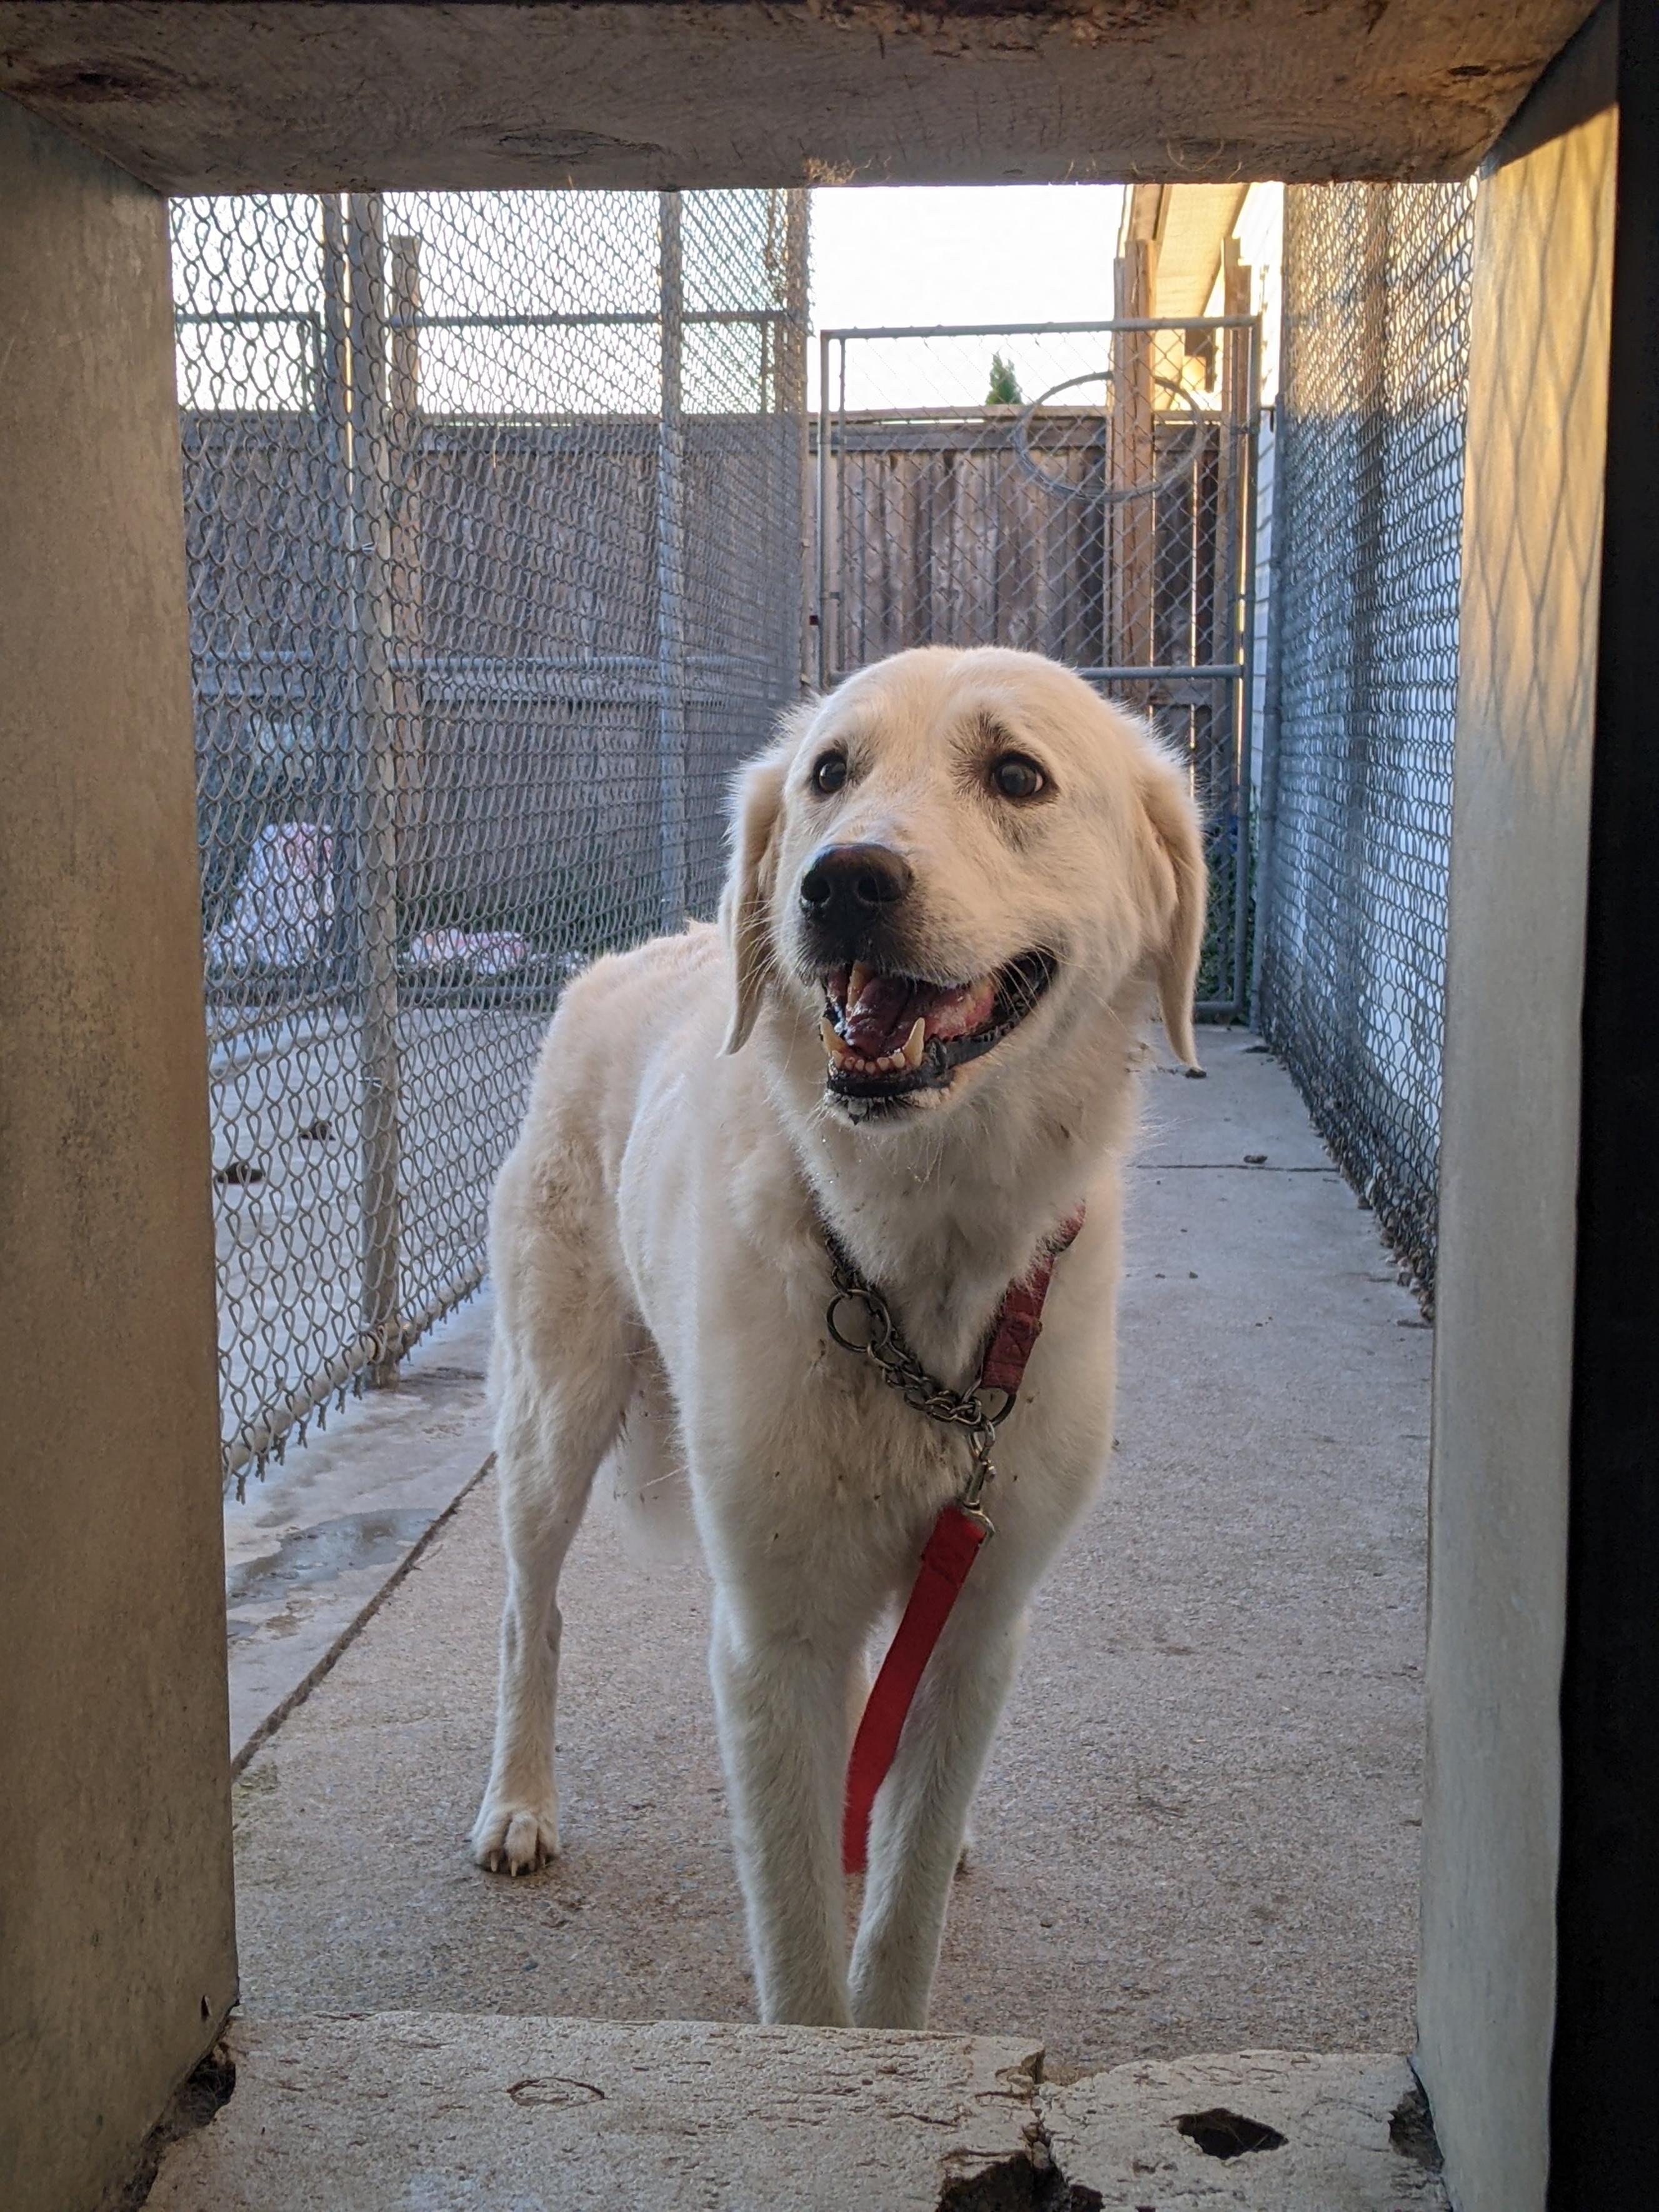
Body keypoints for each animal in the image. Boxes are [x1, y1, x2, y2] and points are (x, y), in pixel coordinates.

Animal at [473, 641, 1203, 2026]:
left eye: (1016, 775)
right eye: (827, 773)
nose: (842, 882)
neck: (908, 1266)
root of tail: (627, 956)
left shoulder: (978, 1626)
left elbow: (901, 1912)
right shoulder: (768, 1643)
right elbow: (803, 1952)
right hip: (554, 1421)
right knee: (531, 1614)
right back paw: (519, 1801)